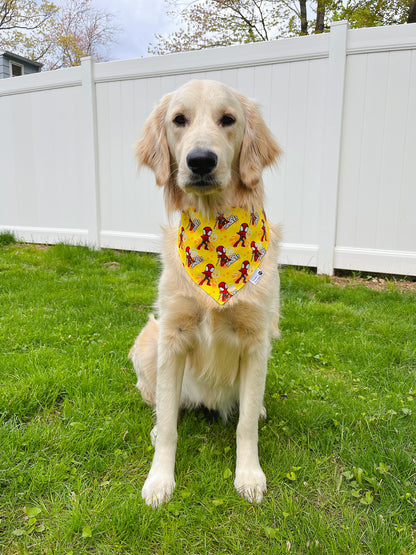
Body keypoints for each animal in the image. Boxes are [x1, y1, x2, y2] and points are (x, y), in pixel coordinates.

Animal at [128, 78, 282, 508]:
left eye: (227, 119)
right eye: (179, 120)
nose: (200, 161)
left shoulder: (256, 338)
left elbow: (245, 426)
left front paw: (249, 475)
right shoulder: (173, 333)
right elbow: (168, 423)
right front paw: (159, 479)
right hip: (149, 341)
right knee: (164, 404)